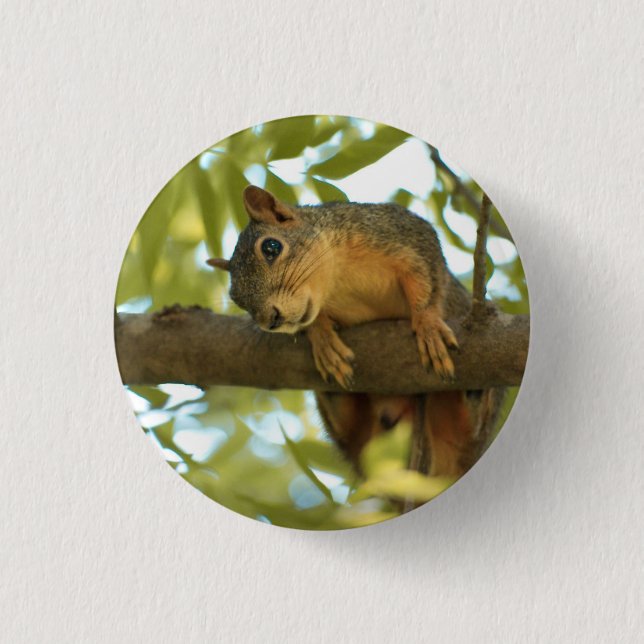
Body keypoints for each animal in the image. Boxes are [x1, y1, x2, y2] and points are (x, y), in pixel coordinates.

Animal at [208, 185, 503, 478]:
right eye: (236, 299)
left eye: (271, 247)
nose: (271, 320)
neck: (336, 282)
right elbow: (314, 321)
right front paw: (322, 337)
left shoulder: (402, 233)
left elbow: (426, 281)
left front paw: (428, 324)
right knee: (351, 427)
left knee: (469, 426)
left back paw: (474, 394)